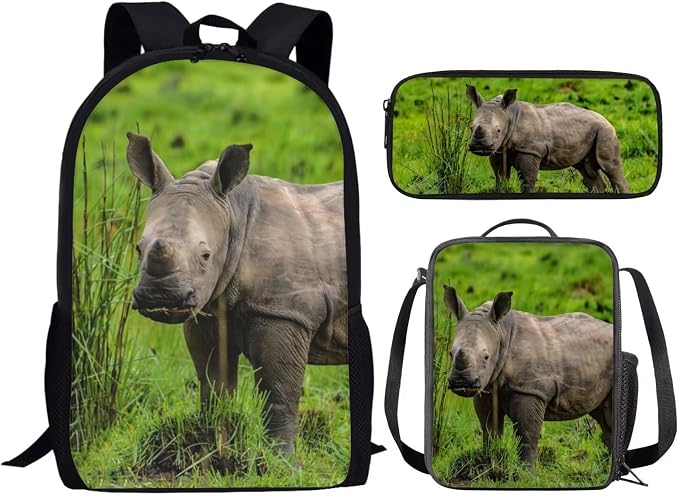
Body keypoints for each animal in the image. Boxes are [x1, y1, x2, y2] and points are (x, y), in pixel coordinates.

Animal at [126, 132, 347, 456]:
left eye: (205, 256)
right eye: (138, 248)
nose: (160, 298)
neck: (233, 215)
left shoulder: (283, 312)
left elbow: (277, 395)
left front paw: (280, 462)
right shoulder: (209, 311)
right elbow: (214, 388)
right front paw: (213, 452)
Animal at [443, 286, 613, 469]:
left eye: (486, 357)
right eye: (451, 353)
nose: (461, 382)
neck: (501, 332)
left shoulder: (530, 390)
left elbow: (526, 435)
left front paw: (526, 472)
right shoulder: (487, 389)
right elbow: (490, 430)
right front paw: (490, 464)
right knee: (603, 416)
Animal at [466, 85, 630, 194]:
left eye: (498, 130)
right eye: (471, 128)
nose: (479, 147)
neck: (509, 115)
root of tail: (606, 120)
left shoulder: (530, 151)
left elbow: (527, 180)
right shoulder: (499, 150)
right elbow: (500, 177)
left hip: (605, 132)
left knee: (609, 166)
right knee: (586, 169)